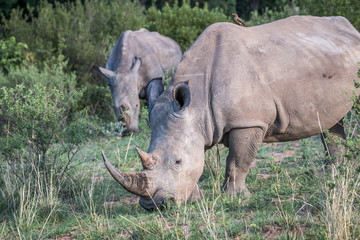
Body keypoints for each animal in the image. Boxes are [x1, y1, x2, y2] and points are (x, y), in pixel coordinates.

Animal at [100, 15, 360, 210]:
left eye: (177, 161)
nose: (153, 206)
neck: (197, 103)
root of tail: (351, 28)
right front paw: (196, 197)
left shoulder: (248, 121)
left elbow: (237, 160)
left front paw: (233, 197)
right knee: (332, 122)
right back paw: (334, 174)